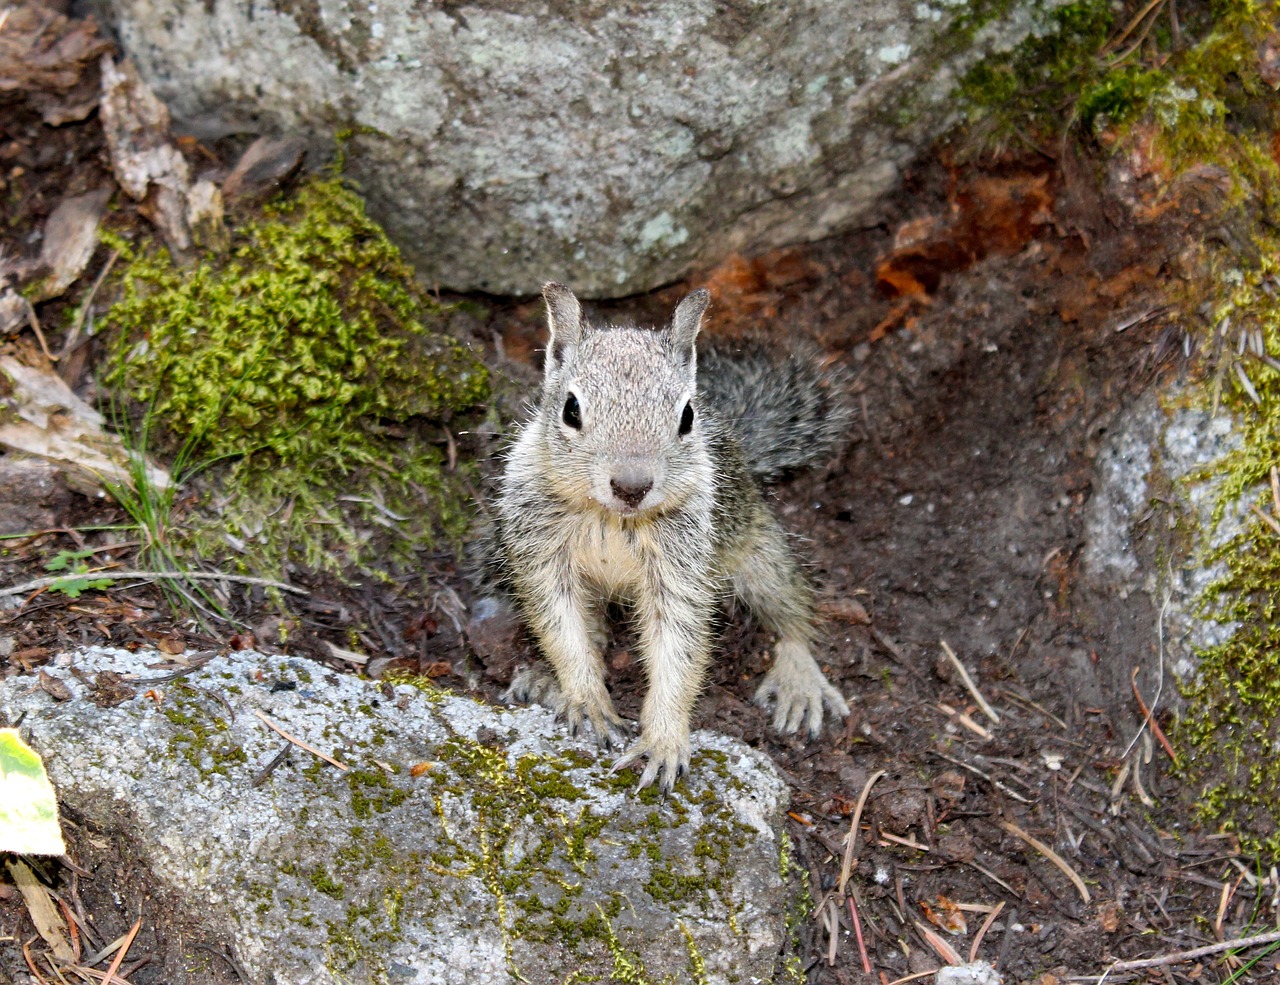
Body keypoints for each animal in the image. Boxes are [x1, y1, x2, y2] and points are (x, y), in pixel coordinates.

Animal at [488, 281, 849, 788]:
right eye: (571, 409)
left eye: (687, 415)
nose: (632, 485)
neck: (613, 518)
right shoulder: (540, 552)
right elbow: (561, 626)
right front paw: (586, 698)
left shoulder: (682, 569)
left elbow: (677, 649)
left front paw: (663, 740)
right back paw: (544, 679)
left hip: (758, 551)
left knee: (793, 610)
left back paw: (800, 678)